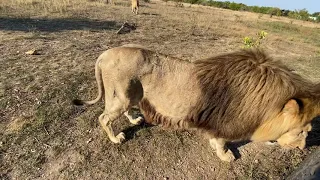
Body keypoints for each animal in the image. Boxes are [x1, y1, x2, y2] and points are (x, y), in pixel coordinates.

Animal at [73, 45, 320, 162]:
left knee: (124, 111)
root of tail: (104, 54)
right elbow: (222, 142)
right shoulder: (225, 121)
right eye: (302, 131)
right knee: (104, 117)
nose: (303, 148)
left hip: (130, 95)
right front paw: (226, 156)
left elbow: (214, 138)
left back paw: (134, 119)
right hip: (121, 95)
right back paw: (116, 138)